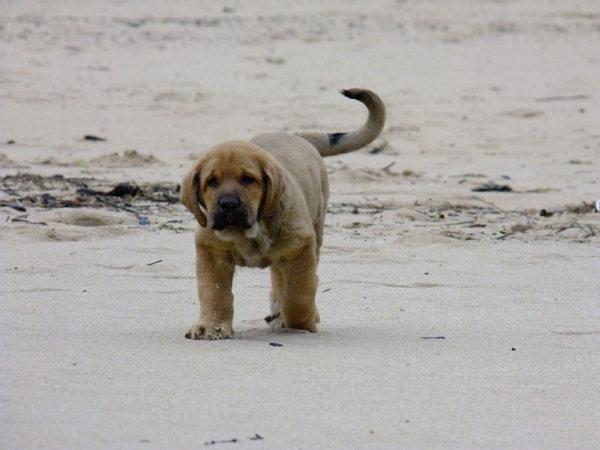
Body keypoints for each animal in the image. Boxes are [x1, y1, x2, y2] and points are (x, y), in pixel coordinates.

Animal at [179, 89, 384, 340]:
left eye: (248, 179)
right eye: (211, 182)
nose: (228, 205)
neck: (248, 231)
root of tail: (298, 137)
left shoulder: (300, 250)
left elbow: (299, 296)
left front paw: (301, 323)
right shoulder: (211, 252)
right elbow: (215, 293)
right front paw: (212, 325)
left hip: (314, 231)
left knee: (300, 280)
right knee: (277, 278)